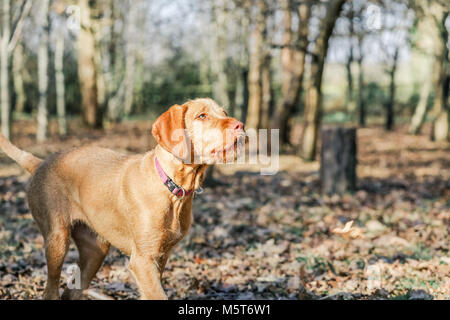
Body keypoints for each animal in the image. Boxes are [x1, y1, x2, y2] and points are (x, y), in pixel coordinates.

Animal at [0, 98, 244, 300]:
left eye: (224, 112)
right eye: (202, 116)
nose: (240, 126)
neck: (172, 189)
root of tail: (41, 163)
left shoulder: (160, 258)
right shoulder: (142, 260)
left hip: (95, 251)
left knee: (71, 291)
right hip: (57, 239)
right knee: (51, 291)